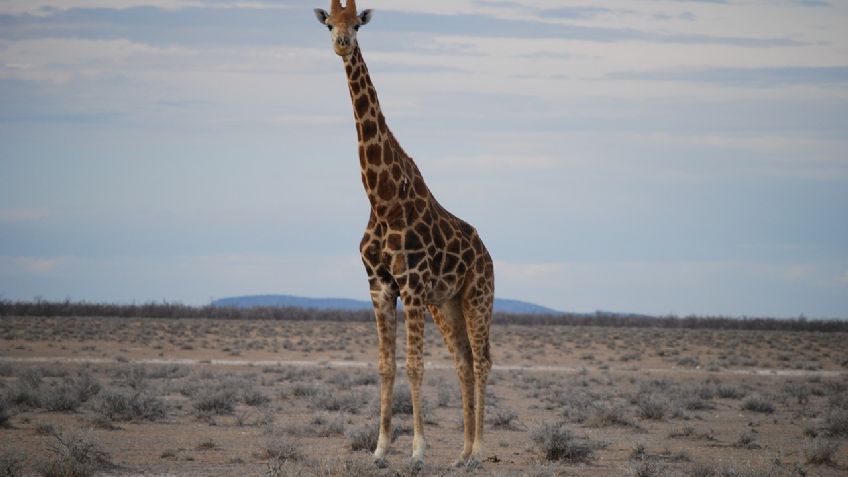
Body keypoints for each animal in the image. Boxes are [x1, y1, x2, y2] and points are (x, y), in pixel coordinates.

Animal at [314, 0, 494, 466]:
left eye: (357, 25)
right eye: (330, 24)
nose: (342, 44)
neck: (382, 199)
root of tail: (487, 253)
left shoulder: (411, 285)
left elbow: (415, 365)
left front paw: (417, 450)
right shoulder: (380, 287)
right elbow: (386, 365)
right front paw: (379, 448)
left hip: (476, 295)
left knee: (482, 361)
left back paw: (479, 450)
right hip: (445, 304)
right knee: (463, 362)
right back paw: (462, 453)